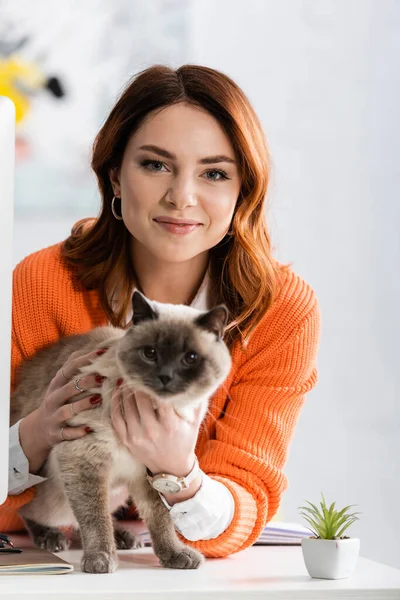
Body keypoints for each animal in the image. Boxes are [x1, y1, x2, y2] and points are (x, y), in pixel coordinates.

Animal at [10, 290, 231, 572]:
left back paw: (126, 538)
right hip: (58, 497)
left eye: (190, 358)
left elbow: (161, 519)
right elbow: (94, 519)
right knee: (33, 512)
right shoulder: (84, 460)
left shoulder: (152, 470)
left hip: (115, 491)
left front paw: (174, 555)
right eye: (150, 353)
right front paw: (101, 559)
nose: (165, 377)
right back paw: (52, 538)